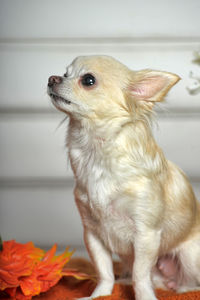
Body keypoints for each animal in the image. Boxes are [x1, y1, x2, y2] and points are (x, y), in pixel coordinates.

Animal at [47, 54, 200, 300]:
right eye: (65, 73)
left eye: (88, 80)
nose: (52, 79)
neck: (96, 154)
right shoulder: (93, 233)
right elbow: (105, 271)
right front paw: (99, 294)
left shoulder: (146, 234)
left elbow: (140, 275)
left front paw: (145, 297)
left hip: (189, 256)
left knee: (190, 284)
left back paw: (181, 288)